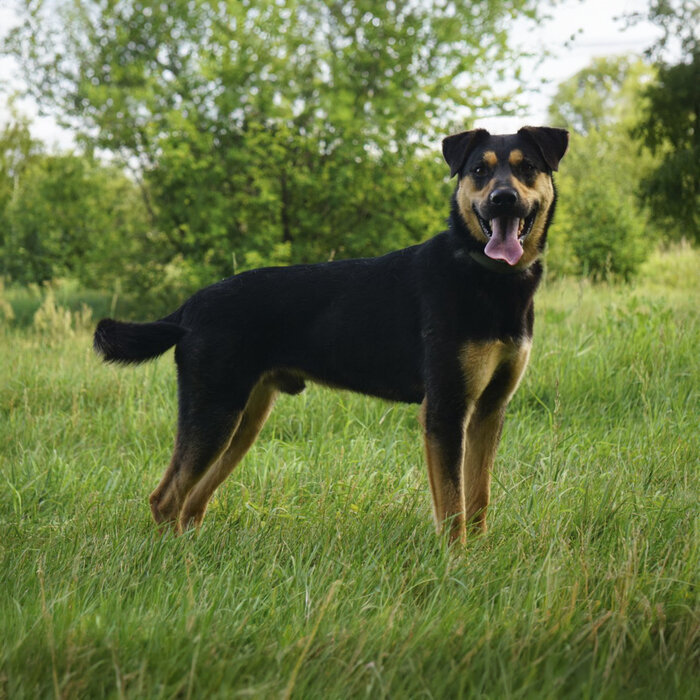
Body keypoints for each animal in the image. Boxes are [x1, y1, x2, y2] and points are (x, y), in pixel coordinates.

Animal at [93, 124, 568, 540]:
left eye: (527, 168)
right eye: (479, 171)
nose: (503, 200)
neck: (486, 277)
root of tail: (189, 308)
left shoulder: (488, 409)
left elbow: (478, 498)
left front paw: (479, 558)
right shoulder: (445, 409)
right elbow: (453, 508)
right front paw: (454, 567)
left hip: (242, 420)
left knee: (192, 501)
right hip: (214, 411)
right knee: (166, 499)